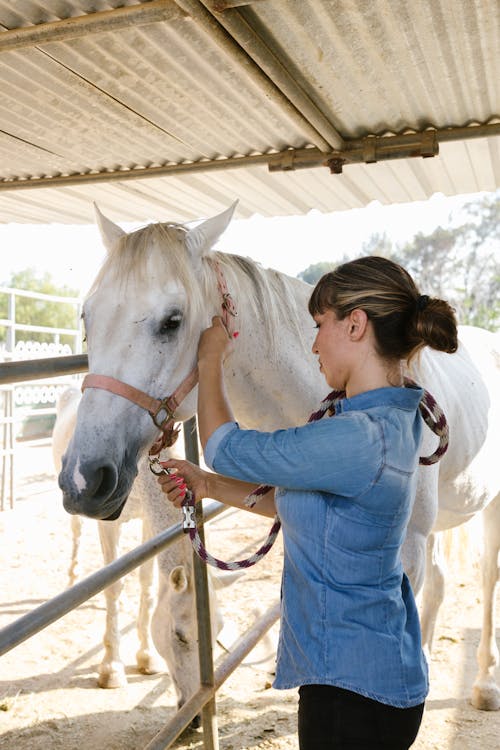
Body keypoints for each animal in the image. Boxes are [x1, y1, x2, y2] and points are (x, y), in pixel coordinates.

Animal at [59, 203, 500, 712]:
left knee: (487, 576)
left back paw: (484, 683)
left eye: (172, 320)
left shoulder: (407, 546)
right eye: (87, 317)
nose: (82, 479)